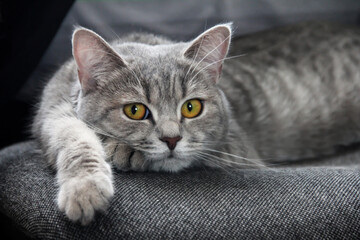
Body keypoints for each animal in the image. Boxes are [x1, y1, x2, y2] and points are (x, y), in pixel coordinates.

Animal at [32, 22, 360, 225]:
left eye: (191, 107)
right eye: (135, 110)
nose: (172, 139)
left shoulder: (240, 150)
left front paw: (122, 152)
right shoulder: (53, 110)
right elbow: (74, 137)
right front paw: (85, 190)